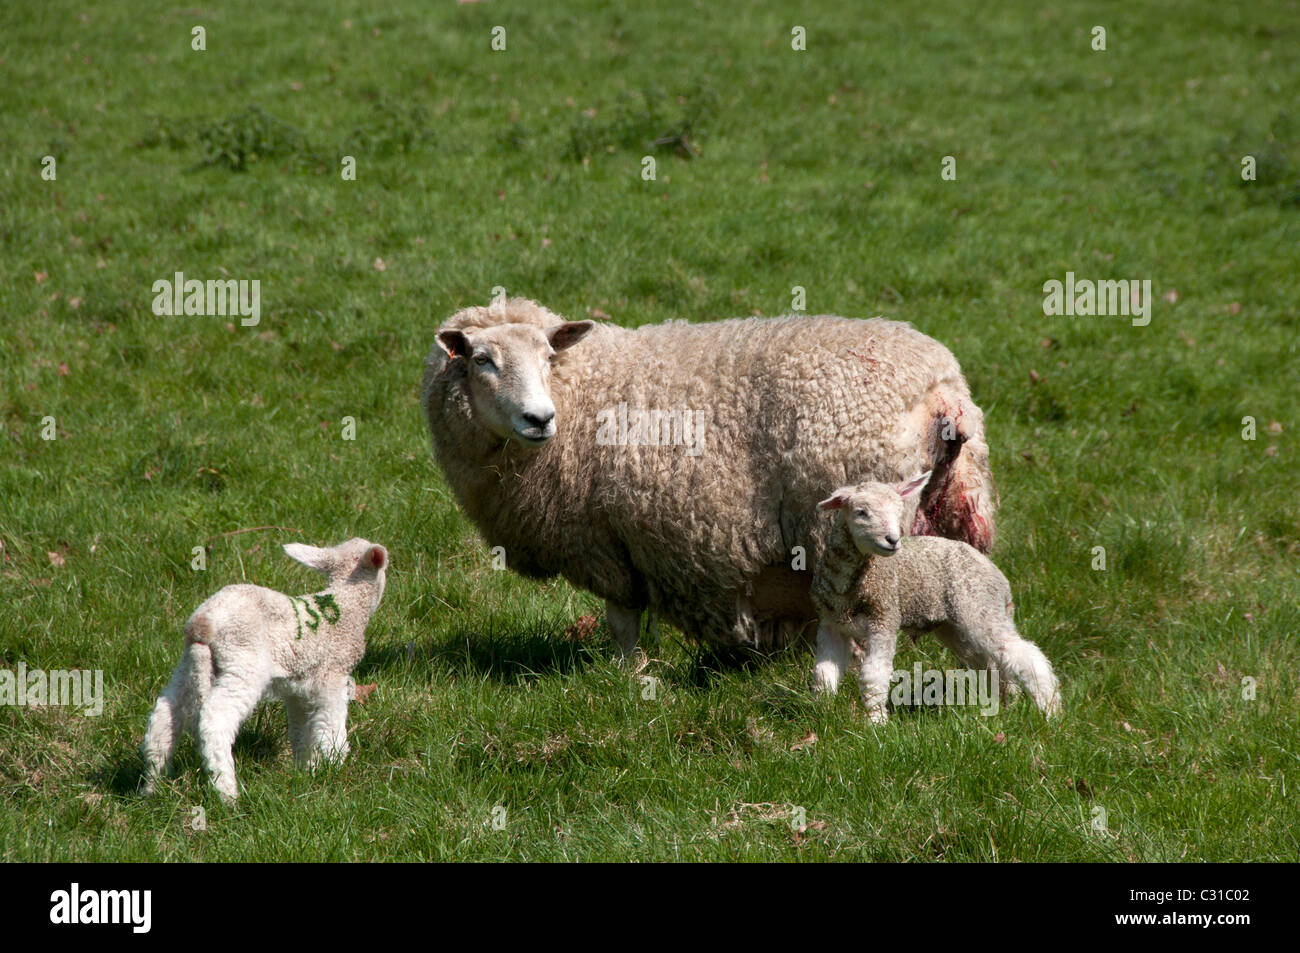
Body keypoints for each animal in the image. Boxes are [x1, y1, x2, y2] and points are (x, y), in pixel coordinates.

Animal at [139, 538, 388, 802]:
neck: (345, 607)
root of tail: (203, 623)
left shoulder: (299, 687)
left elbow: (302, 729)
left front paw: (306, 768)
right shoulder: (332, 678)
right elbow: (331, 726)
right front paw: (334, 765)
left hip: (188, 665)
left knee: (164, 716)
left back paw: (152, 785)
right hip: (242, 661)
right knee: (215, 718)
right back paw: (226, 792)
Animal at [421, 297, 997, 655]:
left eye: (546, 355)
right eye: (481, 359)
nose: (539, 418)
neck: (578, 387)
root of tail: (944, 392)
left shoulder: (604, 541)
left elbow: (622, 620)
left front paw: (626, 677)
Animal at [810, 475, 1060, 722]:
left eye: (899, 510)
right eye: (861, 512)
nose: (893, 540)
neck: (848, 587)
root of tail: (997, 575)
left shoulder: (884, 618)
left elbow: (873, 675)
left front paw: (876, 721)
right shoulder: (831, 626)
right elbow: (824, 673)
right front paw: (823, 710)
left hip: (980, 608)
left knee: (1026, 657)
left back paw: (1049, 709)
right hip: (956, 627)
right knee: (992, 662)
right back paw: (1005, 705)